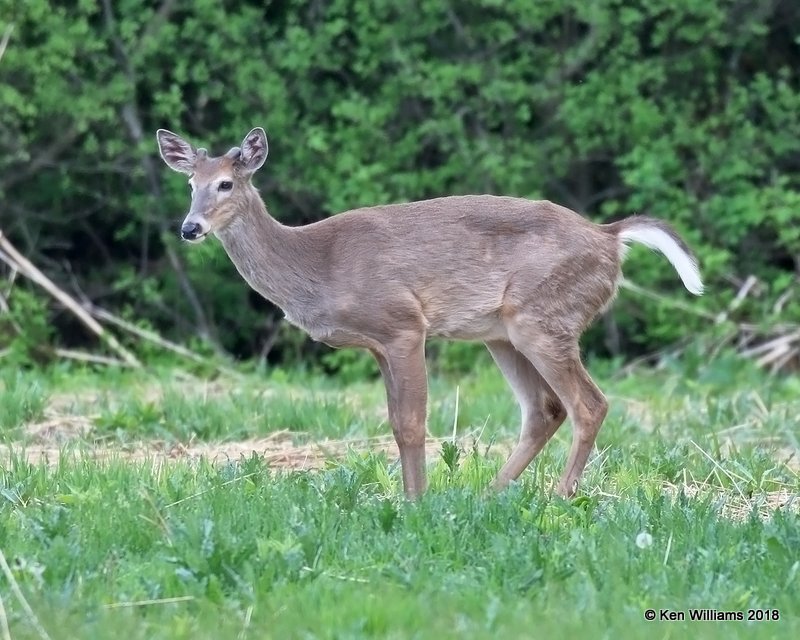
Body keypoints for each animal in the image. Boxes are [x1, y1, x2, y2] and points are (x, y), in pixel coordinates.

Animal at [155, 127, 700, 500]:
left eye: (226, 184)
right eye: (190, 184)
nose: (189, 227)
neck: (317, 264)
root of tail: (610, 238)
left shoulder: (402, 322)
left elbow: (412, 423)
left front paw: (416, 502)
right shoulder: (376, 343)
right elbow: (396, 423)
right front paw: (412, 498)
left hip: (544, 316)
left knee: (590, 404)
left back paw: (559, 497)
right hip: (503, 333)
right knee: (545, 408)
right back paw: (490, 495)